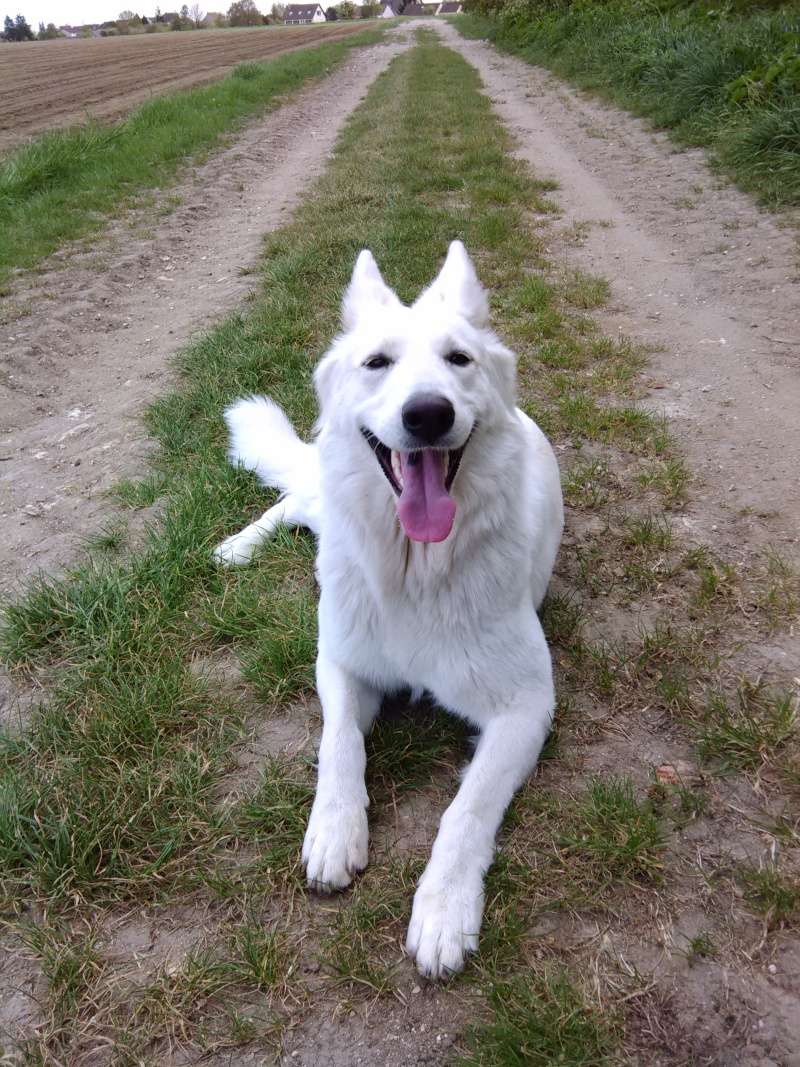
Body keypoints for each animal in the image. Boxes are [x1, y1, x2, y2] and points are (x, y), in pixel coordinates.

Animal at [213, 244, 563, 981]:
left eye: (458, 359)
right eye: (378, 363)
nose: (427, 414)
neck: (415, 573)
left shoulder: (526, 706)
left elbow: (466, 809)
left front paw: (444, 908)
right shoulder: (340, 663)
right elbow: (337, 744)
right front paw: (333, 829)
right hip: (323, 506)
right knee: (294, 497)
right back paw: (238, 545)